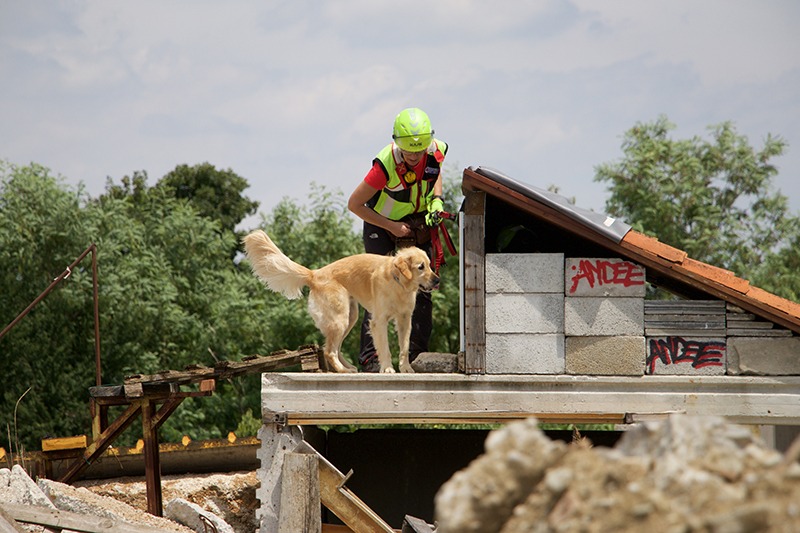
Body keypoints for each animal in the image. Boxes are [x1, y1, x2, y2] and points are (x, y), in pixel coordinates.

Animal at [241, 231, 440, 372]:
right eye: (420, 267)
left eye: (430, 265)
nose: (437, 280)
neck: (398, 283)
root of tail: (314, 274)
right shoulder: (379, 322)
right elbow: (384, 347)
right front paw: (388, 369)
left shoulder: (405, 320)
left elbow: (404, 347)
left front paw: (406, 369)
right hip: (340, 319)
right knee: (329, 350)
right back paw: (343, 370)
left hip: (349, 318)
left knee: (334, 348)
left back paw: (347, 368)